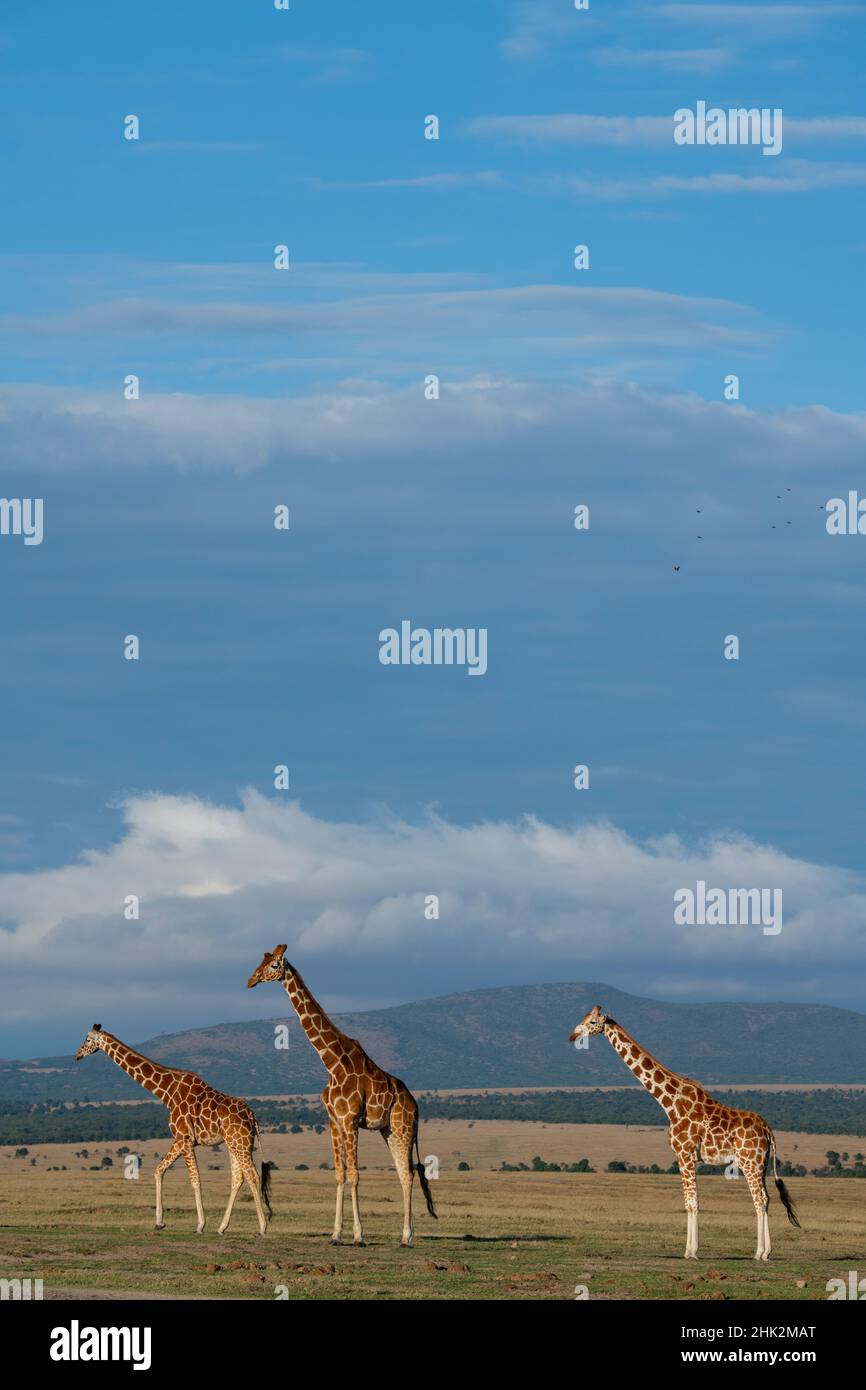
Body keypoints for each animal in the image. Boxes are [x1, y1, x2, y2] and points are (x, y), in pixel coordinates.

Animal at [75, 1023, 271, 1239]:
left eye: (87, 1039)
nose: (77, 1055)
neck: (166, 1092)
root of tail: (252, 1116)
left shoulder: (185, 1138)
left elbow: (195, 1179)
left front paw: (200, 1224)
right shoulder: (179, 1139)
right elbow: (158, 1170)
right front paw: (159, 1223)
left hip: (240, 1142)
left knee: (253, 1175)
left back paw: (262, 1227)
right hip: (234, 1143)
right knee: (238, 1177)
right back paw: (222, 1227)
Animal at [246, 945, 436, 1251]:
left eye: (274, 965)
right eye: (261, 961)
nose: (251, 980)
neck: (331, 1062)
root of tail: (415, 1105)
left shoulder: (349, 1120)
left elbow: (354, 1175)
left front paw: (358, 1236)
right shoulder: (334, 1121)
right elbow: (339, 1174)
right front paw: (335, 1234)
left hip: (404, 1128)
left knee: (407, 1174)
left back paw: (407, 1237)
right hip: (389, 1131)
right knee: (404, 1174)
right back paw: (405, 1235)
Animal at [569, 1011, 800, 1262]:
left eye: (592, 1022)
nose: (573, 1035)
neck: (670, 1103)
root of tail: (768, 1130)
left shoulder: (684, 1154)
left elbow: (692, 1203)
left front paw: (691, 1251)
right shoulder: (684, 1157)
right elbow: (689, 1202)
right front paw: (690, 1249)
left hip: (749, 1162)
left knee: (760, 1200)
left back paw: (760, 1253)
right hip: (762, 1164)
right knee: (766, 1199)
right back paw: (765, 1252)